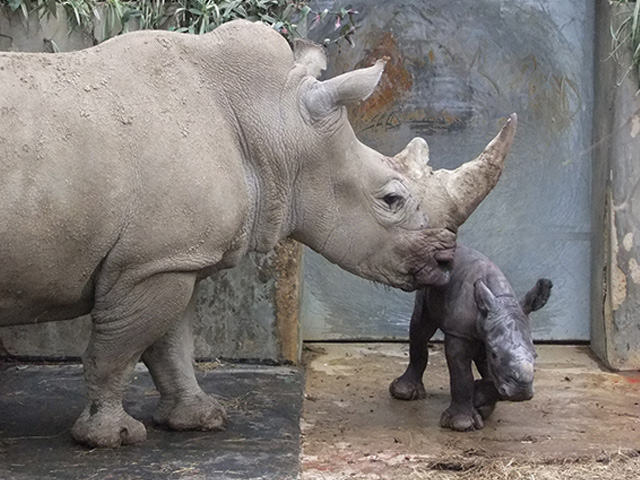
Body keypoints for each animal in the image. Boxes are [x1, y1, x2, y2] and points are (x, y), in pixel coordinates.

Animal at [0, 18, 516, 446]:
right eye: (392, 200)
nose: (446, 262)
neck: (275, 122)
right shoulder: (150, 264)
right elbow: (118, 350)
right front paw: (112, 438)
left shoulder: (174, 258)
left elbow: (171, 344)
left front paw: (200, 419)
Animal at [388, 244, 552, 432]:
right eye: (495, 354)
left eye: (535, 355)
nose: (521, 392)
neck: (502, 300)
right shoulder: (459, 333)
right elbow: (462, 375)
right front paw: (462, 424)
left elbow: (493, 376)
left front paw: (480, 400)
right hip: (429, 283)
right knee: (421, 327)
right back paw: (404, 393)